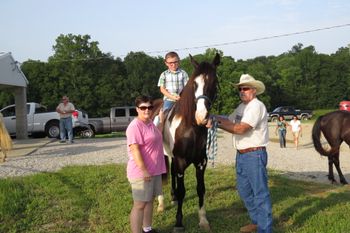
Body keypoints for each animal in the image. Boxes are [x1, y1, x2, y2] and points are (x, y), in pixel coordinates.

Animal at [153, 54, 219, 231]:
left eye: (214, 82)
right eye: (194, 83)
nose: (201, 116)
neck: (190, 128)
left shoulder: (201, 162)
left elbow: (201, 189)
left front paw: (203, 220)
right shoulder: (181, 161)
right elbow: (182, 191)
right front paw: (178, 223)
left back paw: (173, 197)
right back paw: (161, 204)